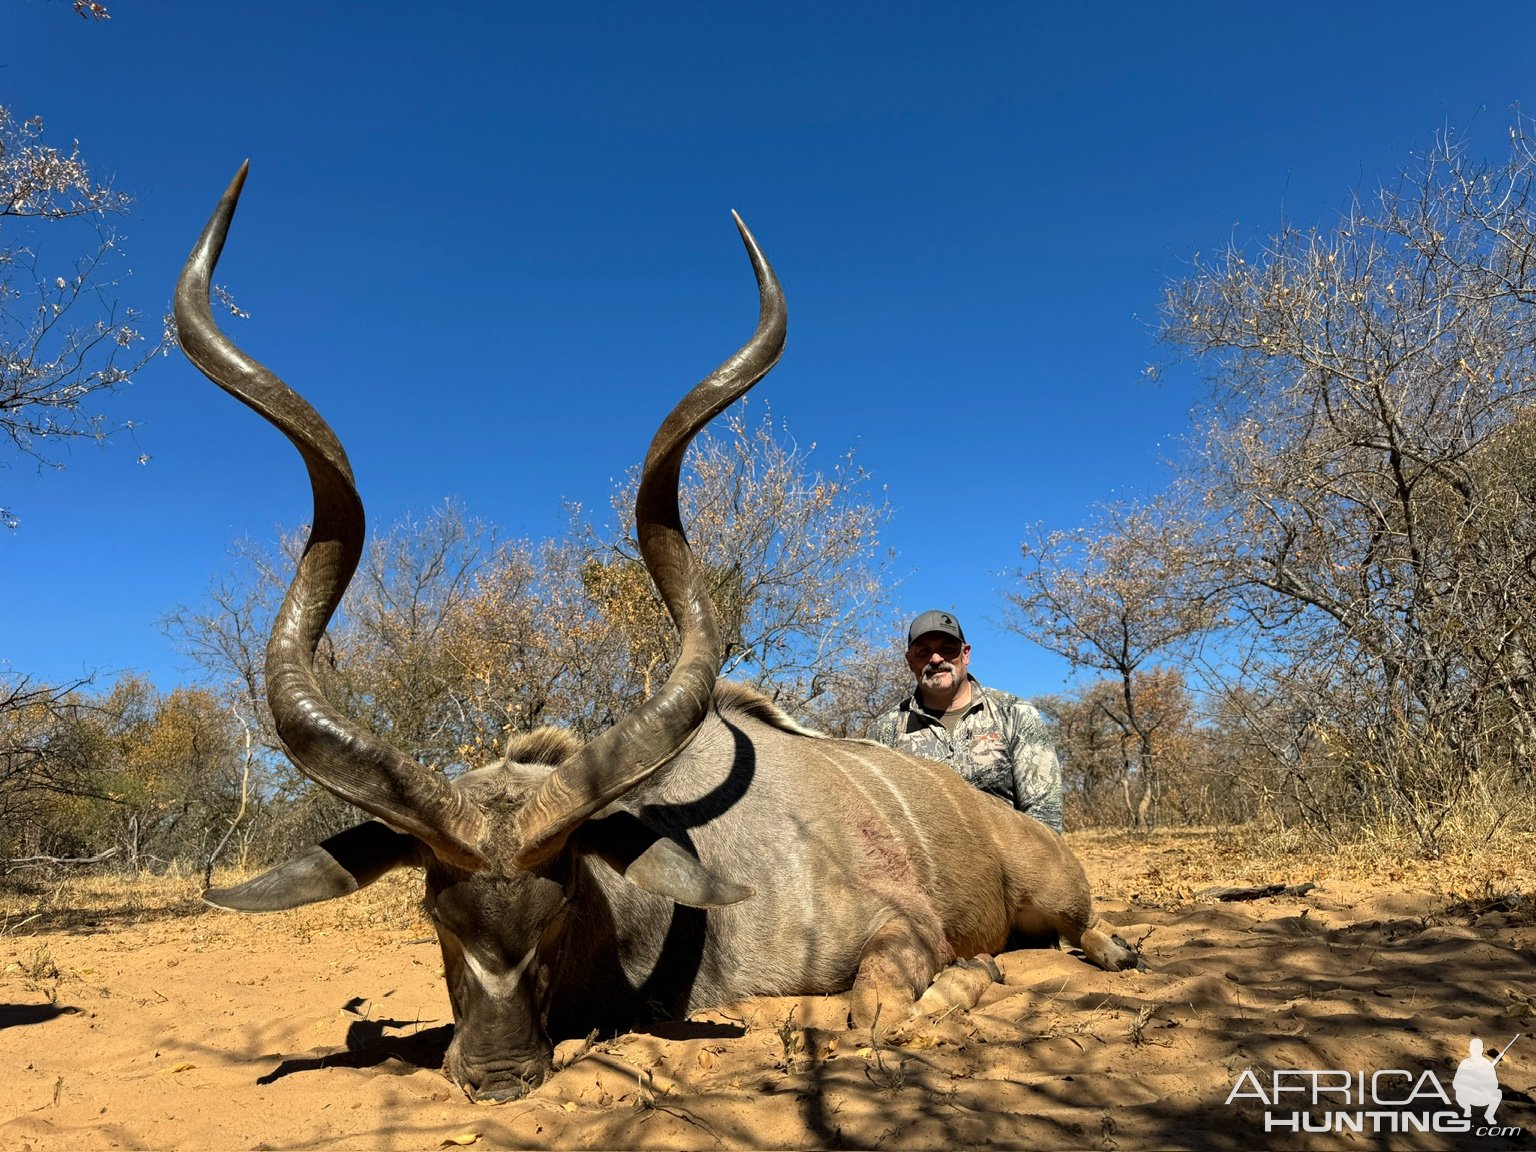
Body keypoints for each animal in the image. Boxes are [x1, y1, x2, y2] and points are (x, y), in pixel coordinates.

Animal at [179, 166, 1142, 1105]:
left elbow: (875, 1006)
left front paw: (964, 980)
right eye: (434, 913)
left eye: (560, 904)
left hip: (1056, 892)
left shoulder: (897, 928)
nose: (497, 1076)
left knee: (1081, 932)